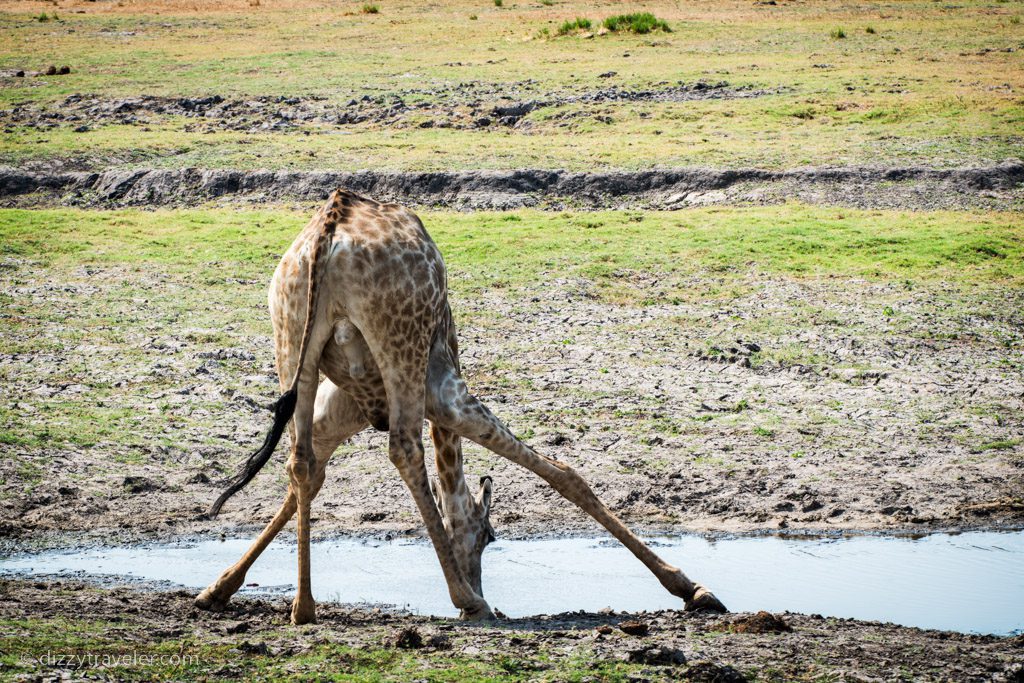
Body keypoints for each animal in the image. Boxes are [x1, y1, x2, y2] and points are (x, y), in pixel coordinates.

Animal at [193, 188, 729, 626]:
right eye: (489, 535)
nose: (477, 578)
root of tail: (330, 227)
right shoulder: (444, 395)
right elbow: (562, 472)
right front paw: (692, 589)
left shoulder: (342, 408)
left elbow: (305, 477)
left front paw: (217, 589)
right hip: (404, 350)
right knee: (404, 448)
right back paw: (468, 601)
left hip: (291, 344)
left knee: (299, 460)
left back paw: (303, 609)